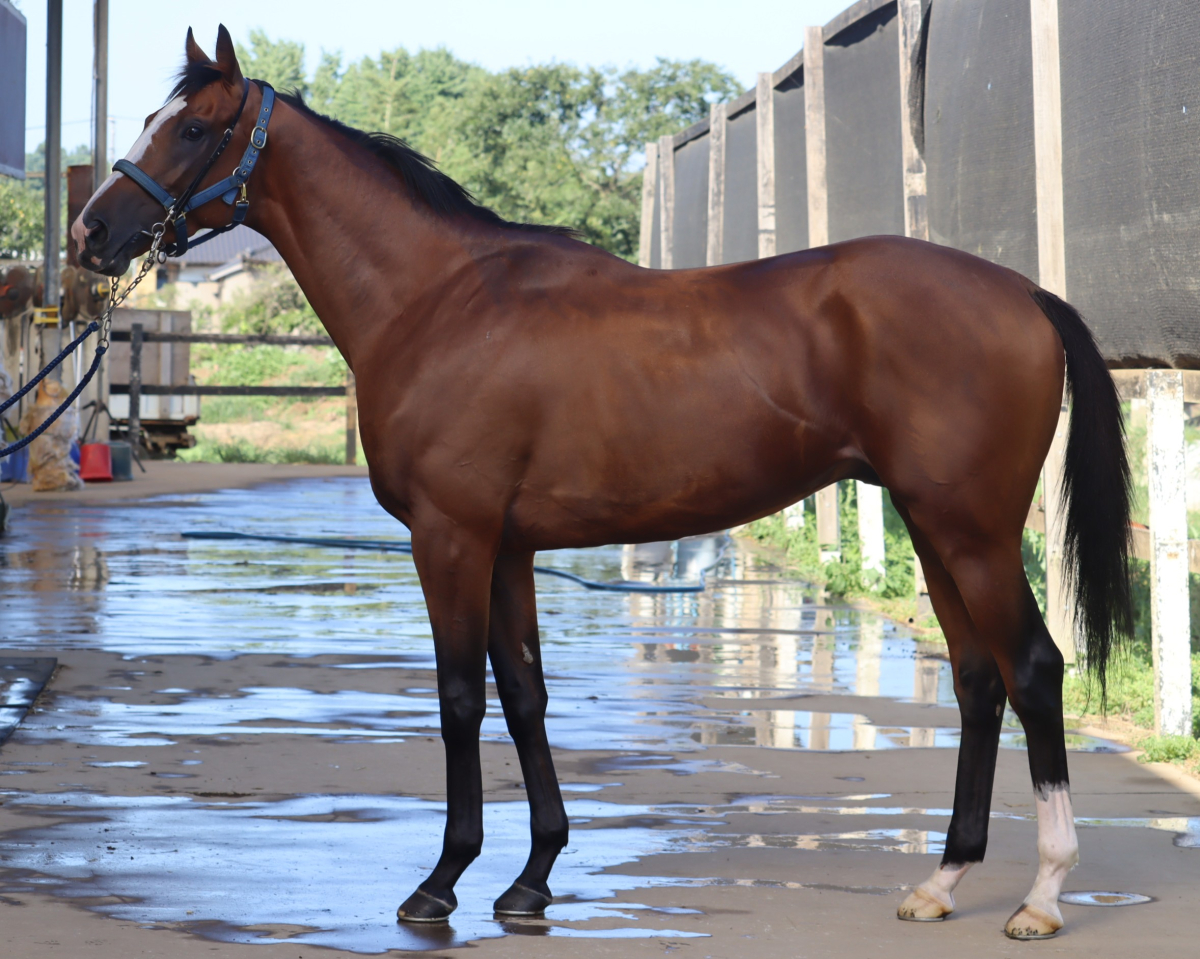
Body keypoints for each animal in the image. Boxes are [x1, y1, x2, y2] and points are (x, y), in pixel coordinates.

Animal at [73, 26, 1133, 941]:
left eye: (194, 129)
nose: (91, 232)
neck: (439, 300)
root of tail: (1022, 291)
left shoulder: (450, 537)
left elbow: (459, 697)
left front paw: (440, 881)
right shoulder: (507, 547)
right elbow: (524, 692)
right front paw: (533, 876)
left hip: (972, 530)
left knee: (1033, 669)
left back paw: (1042, 894)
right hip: (933, 524)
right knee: (977, 679)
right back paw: (941, 880)